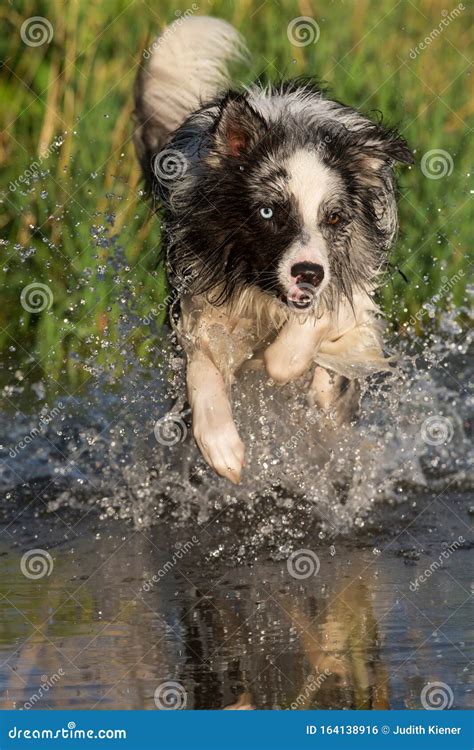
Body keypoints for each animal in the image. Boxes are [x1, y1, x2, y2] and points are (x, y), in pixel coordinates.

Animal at [132, 19, 412, 488]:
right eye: (268, 212)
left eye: (334, 218)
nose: (308, 274)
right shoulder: (198, 299)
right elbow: (201, 367)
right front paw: (222, 448)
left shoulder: (351, 286)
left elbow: (299, 346)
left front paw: (282, 362)